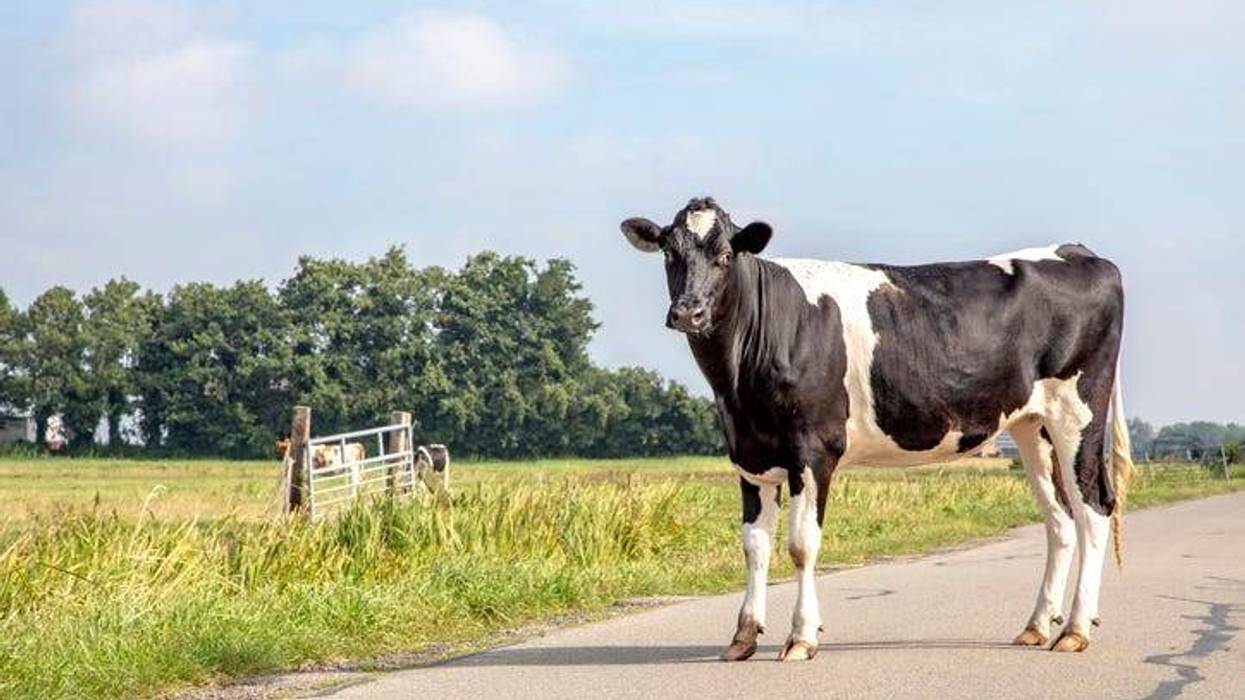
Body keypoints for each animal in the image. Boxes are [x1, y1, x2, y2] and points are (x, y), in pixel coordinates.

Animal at [621, 197, 1133, 662]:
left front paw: (801, 636)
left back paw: (1075, 630)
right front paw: (743, 637)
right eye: (669, 253)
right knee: (1060, 518)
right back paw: (1036, 625)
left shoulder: (814, 451)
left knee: (1093, 509)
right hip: (1032, 427)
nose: (688, 312)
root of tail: (1078, 252)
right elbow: (755, 547)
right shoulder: (749, 456)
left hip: (1078, 413)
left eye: (726, 255)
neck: (738, 382)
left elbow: (801, 546)